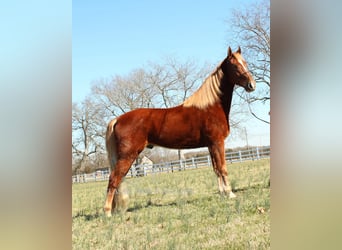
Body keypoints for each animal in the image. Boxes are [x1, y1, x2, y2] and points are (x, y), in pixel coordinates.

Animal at [103, 47, 255, 217]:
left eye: (245, 62)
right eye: (234, 65)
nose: (251, 85)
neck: (210, 105)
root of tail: (117, 119)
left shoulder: (211, 145)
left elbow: (216, 168)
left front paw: (222, 193)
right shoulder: (218, 142)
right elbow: (223, 168)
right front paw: (230, 193)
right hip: (127, 156)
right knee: (113, 179)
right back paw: (107, 212)